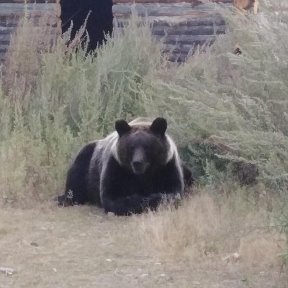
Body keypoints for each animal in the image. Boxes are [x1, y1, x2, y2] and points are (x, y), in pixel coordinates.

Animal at [58, 116, 194, 214]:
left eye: (147, 147)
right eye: (131, 147)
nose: (137, 162)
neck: (143, 175)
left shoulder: (166, 166)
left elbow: (173, 191)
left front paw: (153, 198)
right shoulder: (117, 166)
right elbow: (112, 196)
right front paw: (139, 200)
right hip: (87, 158)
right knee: (75, 180)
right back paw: (64, 198)